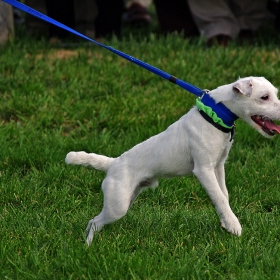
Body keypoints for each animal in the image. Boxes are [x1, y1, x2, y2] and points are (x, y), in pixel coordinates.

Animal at [65, 76, 280, 245]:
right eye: (264, 97)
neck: (214, 117)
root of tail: (113, 163)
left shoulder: (218, 166)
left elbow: (223, 195)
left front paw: (225, 221)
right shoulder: (203, 169)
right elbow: (219, 196)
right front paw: (234, 225)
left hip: (126, 199)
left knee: (95, 222)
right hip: (117, 206)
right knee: (94, 221)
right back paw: (88, 245)